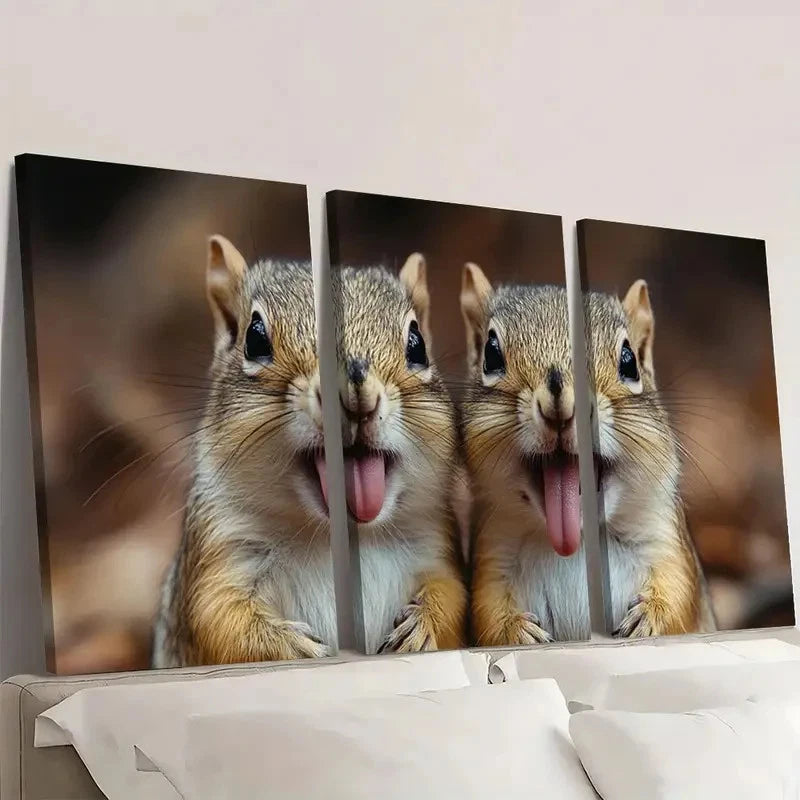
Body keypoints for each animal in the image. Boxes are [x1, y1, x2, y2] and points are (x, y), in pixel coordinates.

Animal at [152, 237, 466, 667]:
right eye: (255, 338)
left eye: (417, 344)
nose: (355, 393)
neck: (330, 537)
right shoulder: (220, 551)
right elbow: (221, 620)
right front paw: (292, 647)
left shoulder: (433, 544)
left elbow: (451, 595)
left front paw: (423, 627)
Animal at [459, 262, 715, 645]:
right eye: (491, 354)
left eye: (629, 360)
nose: (560, 401)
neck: (577, 542)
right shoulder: (492, 557)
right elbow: (487, 613)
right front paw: (517, 632)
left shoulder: (666, 542)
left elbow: (677, 595)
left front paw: (648, 617)